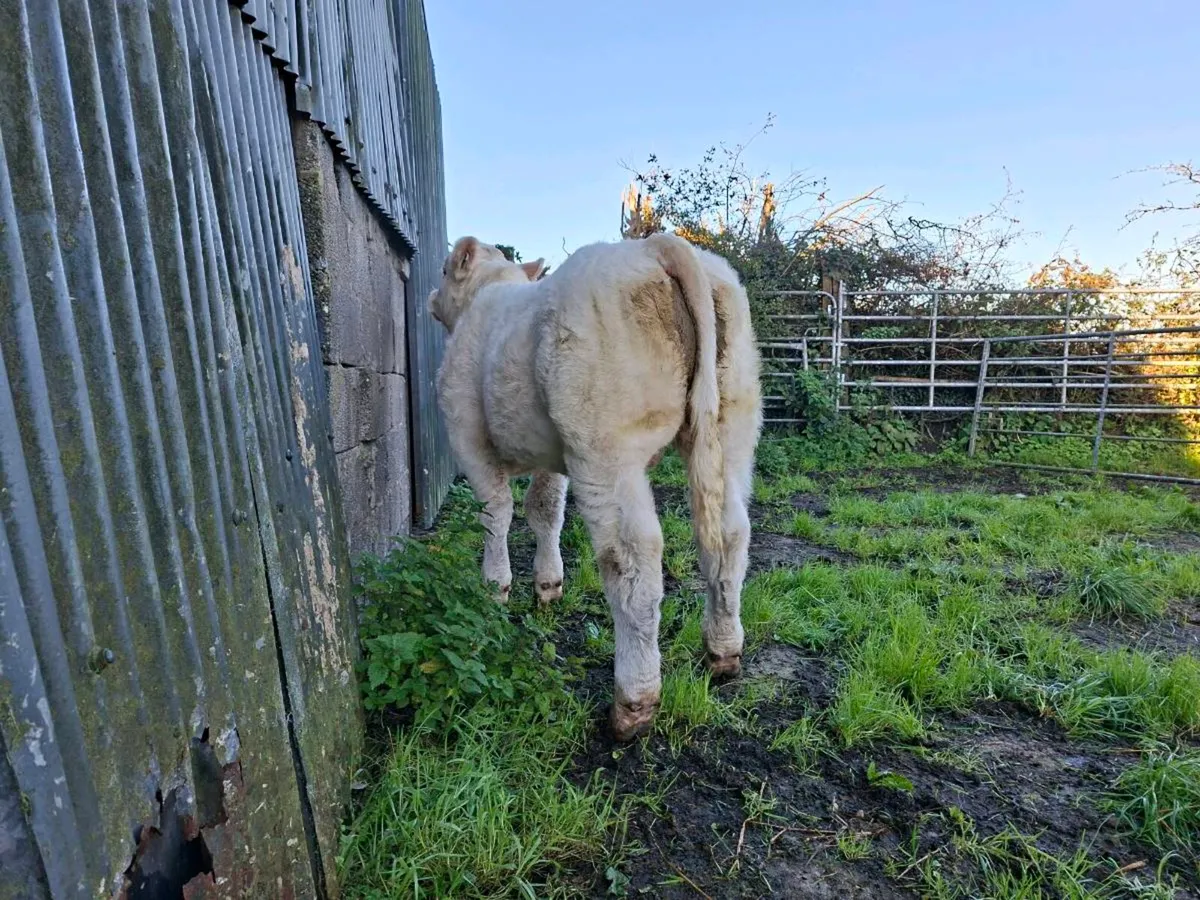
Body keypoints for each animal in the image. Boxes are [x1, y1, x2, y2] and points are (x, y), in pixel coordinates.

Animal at [428, 234, 762, 740]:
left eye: (447, 270)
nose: (431, 297)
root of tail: (656, 246)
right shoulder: (554, 455)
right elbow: (544, 509)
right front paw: (548, 586)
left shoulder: (468, 438)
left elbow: (496, 513)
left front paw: (495, 590)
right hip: (733, 424)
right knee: (730, 536)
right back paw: (723, 649)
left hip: (607, 448)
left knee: (631, 561)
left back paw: (633, 702)